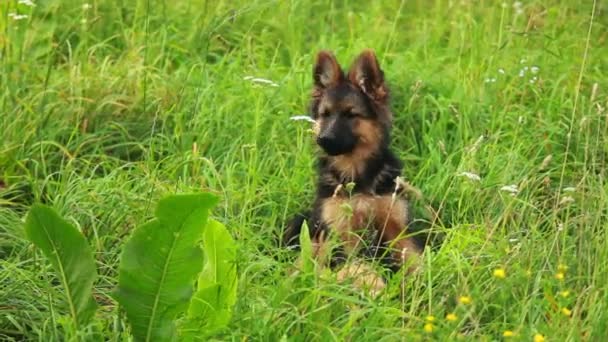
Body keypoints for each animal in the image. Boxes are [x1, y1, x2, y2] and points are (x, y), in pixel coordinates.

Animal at [284, 48, 422, 286]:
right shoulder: (342, 235)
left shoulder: (398, 230)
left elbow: (418, 262)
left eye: (351, 114)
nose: (322, 139)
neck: (357, 175)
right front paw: (377, 287)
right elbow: (362, 268)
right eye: (325, 114)